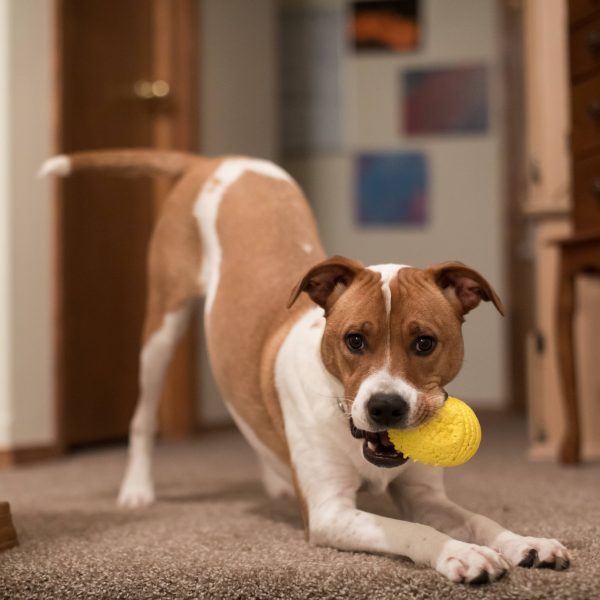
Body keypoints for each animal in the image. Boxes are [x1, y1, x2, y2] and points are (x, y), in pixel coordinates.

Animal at [39, 150, 568, 580]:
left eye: (424, 343)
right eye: (354, 340)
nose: (386, 407)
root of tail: (213, 160)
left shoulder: (425, 494)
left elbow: (479, 518)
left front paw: (524, 542)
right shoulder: (330, 513)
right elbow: (411, 531)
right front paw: (461, 553)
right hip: (161, 327)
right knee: (143, 416)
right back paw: (137, 489)